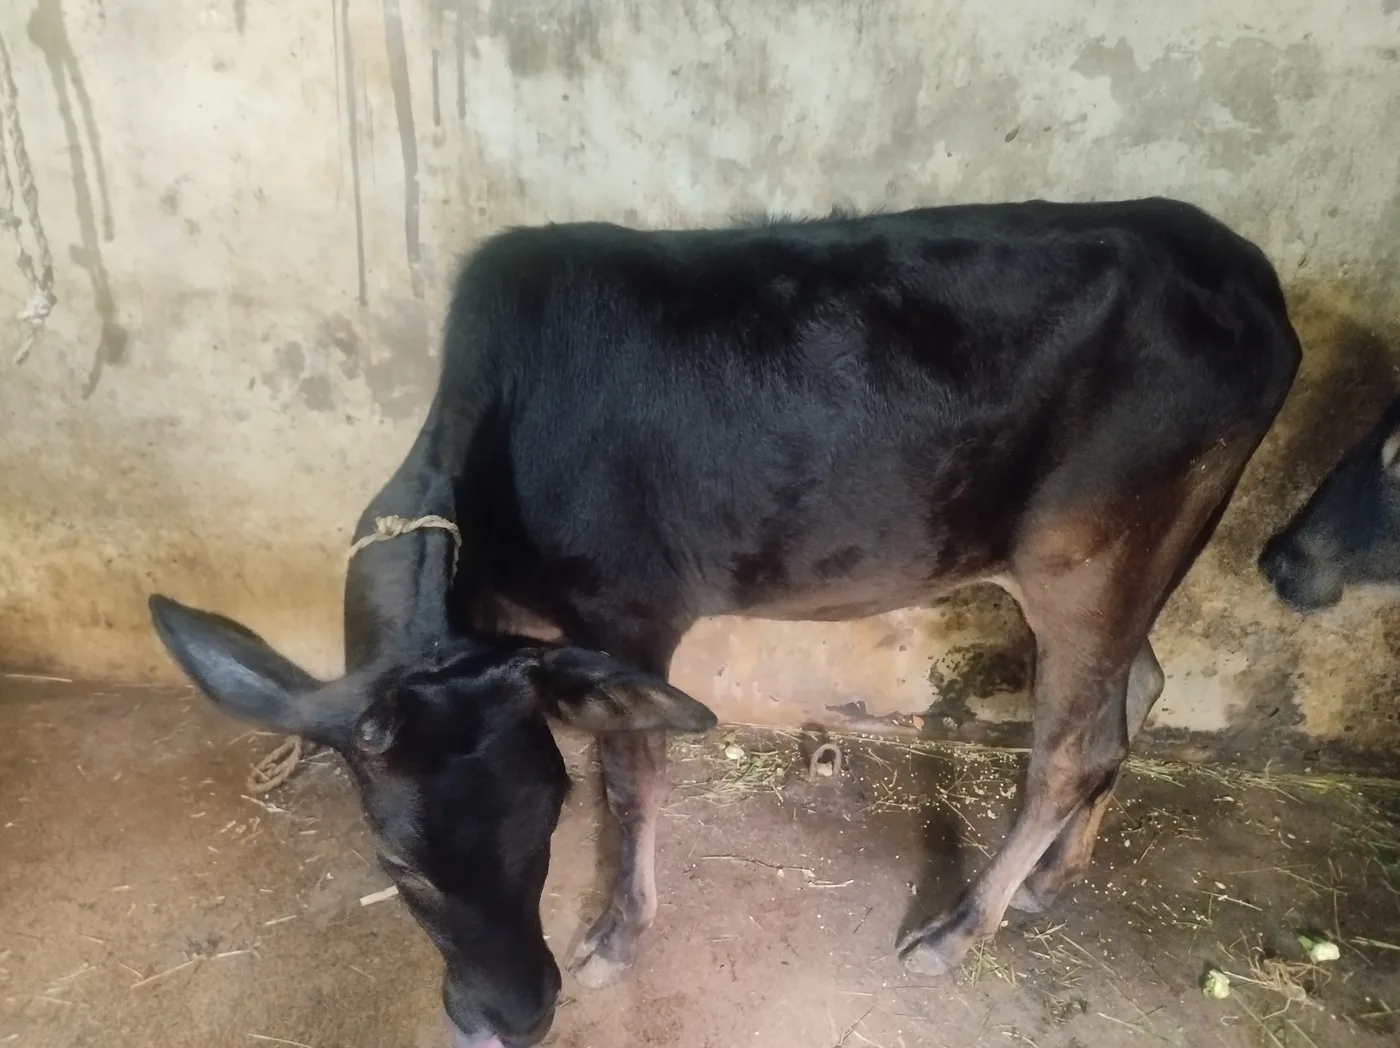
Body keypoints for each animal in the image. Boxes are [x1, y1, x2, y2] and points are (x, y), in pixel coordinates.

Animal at [147, 197, 1300, 1048]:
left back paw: (955, 930)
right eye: (396, 865)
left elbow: (634, 778)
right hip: (1138, 557)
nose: (514, 1017)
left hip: (1084, 558)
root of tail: (1254, 281)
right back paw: (1054, 881)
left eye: (545, 821)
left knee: (1068, 747)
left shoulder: (632, 608)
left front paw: (617, 937)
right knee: (1133, 695)